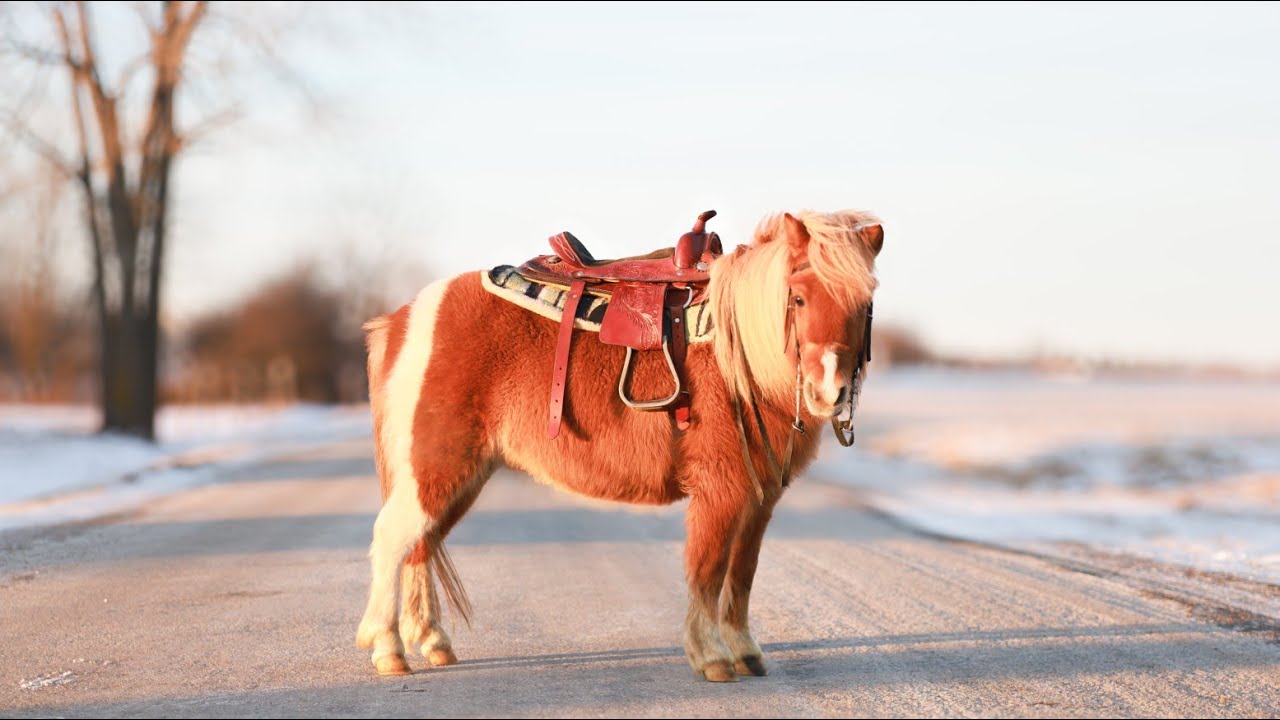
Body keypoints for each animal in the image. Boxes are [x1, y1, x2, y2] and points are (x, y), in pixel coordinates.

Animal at [355, 209, 884, 682]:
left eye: (865, 303)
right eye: (798, 297)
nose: (829, 392)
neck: (738, 355)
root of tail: (404, 317)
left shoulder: (759, 498)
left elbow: (741, 574)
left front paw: (744, 652)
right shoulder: (720, 490)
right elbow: (708, 569)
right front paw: (711, 656)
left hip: (458, 478)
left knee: (421, 545)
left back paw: (432, 643)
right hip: (436, 469)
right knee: (392, 539)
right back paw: (387, 649)